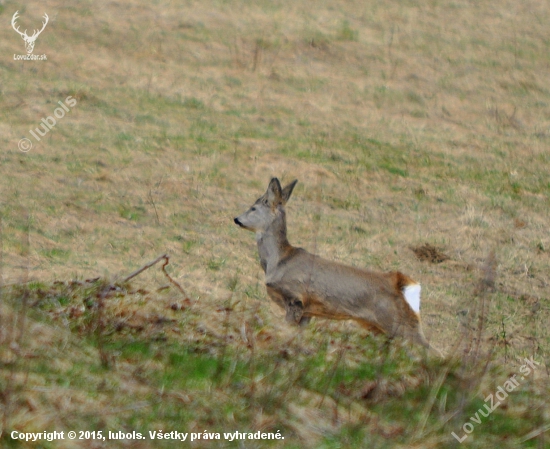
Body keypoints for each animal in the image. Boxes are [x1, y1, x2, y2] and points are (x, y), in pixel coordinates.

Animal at [234, 178, 440, 350]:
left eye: (254, 207)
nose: (236, 219)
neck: (278, 261)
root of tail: (401, 283)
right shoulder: (308, 310)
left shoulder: (295, 297)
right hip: (380, 327)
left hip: (399, 323)